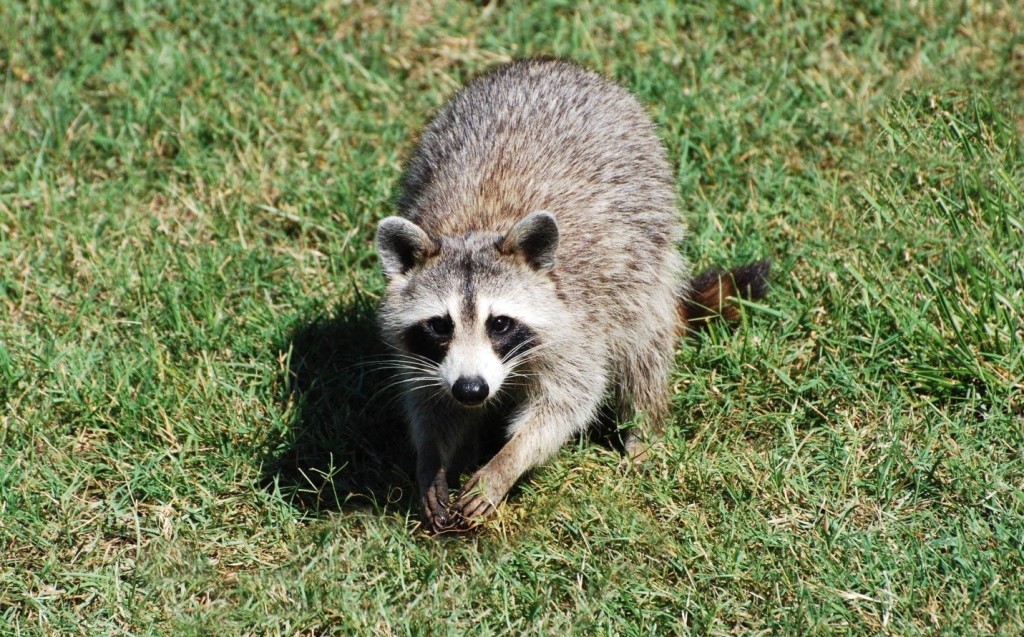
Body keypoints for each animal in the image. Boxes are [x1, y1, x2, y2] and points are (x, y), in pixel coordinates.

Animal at [376, 58, 770, 532]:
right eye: (439, 325)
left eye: (500, 323)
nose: (471, 390)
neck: (475, 227)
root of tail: (548, 63)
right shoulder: (423, 355)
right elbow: (431, 401)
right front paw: (433, 460)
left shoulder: (577, 323)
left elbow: (565, 404)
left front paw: (506, 463)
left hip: (649, 243)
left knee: (645, 344)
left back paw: (642, 426)